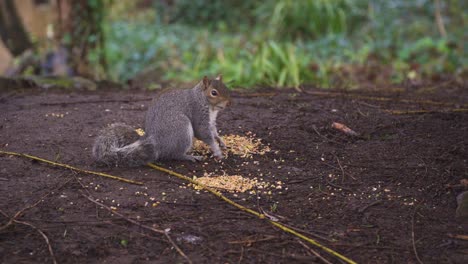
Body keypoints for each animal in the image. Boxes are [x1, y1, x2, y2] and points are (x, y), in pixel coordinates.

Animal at [92, 75, 231, 166]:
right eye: (214, 93)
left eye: (226, 88)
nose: (229, 103)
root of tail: (154, 142)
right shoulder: (198, 113)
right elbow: (203, 133)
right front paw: (217, 150)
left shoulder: (211, 121)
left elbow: (213, 132)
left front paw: (220, 141)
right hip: (180, 129)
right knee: (174, 155)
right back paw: (189, 156)